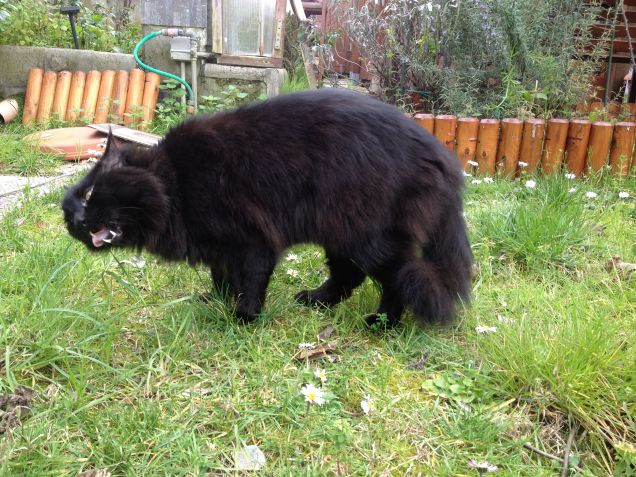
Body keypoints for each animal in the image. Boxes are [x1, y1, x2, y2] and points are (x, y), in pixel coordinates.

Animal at [63, 89, 472, 326]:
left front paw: (243, 317)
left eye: (91, 194)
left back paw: (384, 322)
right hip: (342, 233)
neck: (176, 182)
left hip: (366, 235)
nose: (76, 221)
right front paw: (217, 301)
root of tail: (439, 154)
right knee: (348, 276)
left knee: (398, 276)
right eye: (69, 210)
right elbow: (222, 277)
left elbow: (251, 281)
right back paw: (317, 302)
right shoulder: (220, 246)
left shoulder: (253, 239)